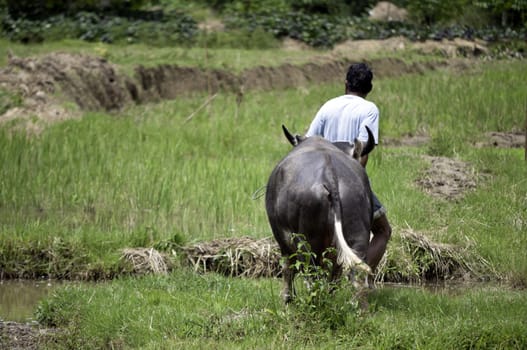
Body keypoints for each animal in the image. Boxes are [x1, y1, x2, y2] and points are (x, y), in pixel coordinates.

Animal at [268, 126, 376, 304]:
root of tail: (330, 176)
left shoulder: (282, 237)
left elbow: (287, 269)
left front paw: (287, 299)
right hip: (358, 236)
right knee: (355, 276)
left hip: (307, 242)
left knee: (312, 275)